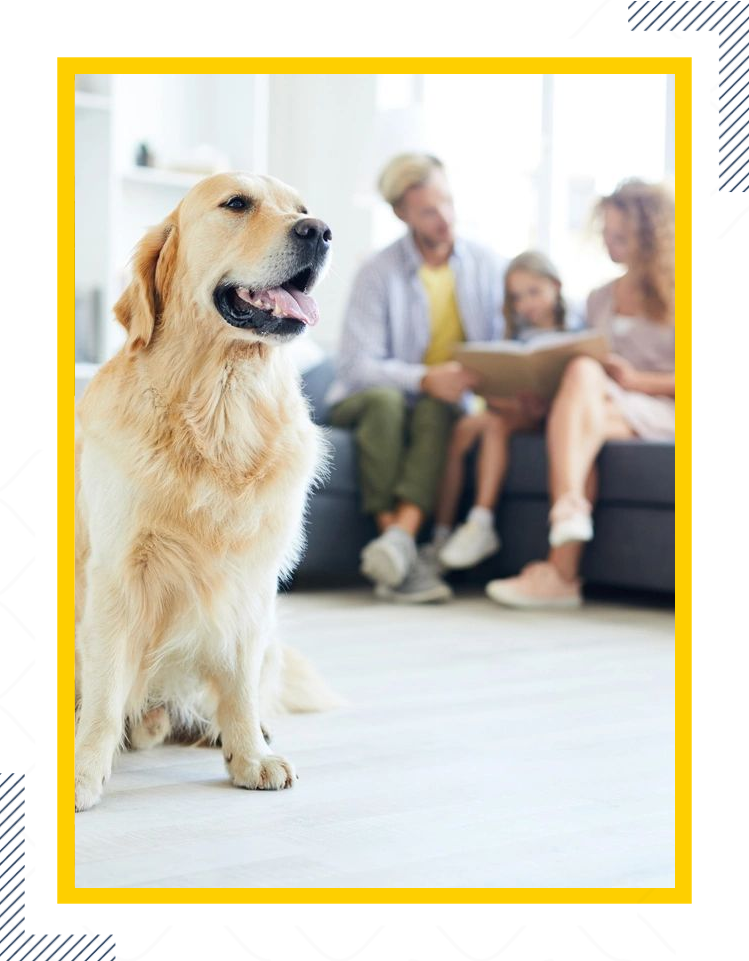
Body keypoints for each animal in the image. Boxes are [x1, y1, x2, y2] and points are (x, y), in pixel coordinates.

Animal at [74, 171, 334, 808]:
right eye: (236, 203)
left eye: (302, 208)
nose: (319, 231)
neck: (222, 403)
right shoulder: (117, 573)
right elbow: (105, 688)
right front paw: (85, 770)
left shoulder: (250, 579)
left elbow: (238, 682)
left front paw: (249, 755)